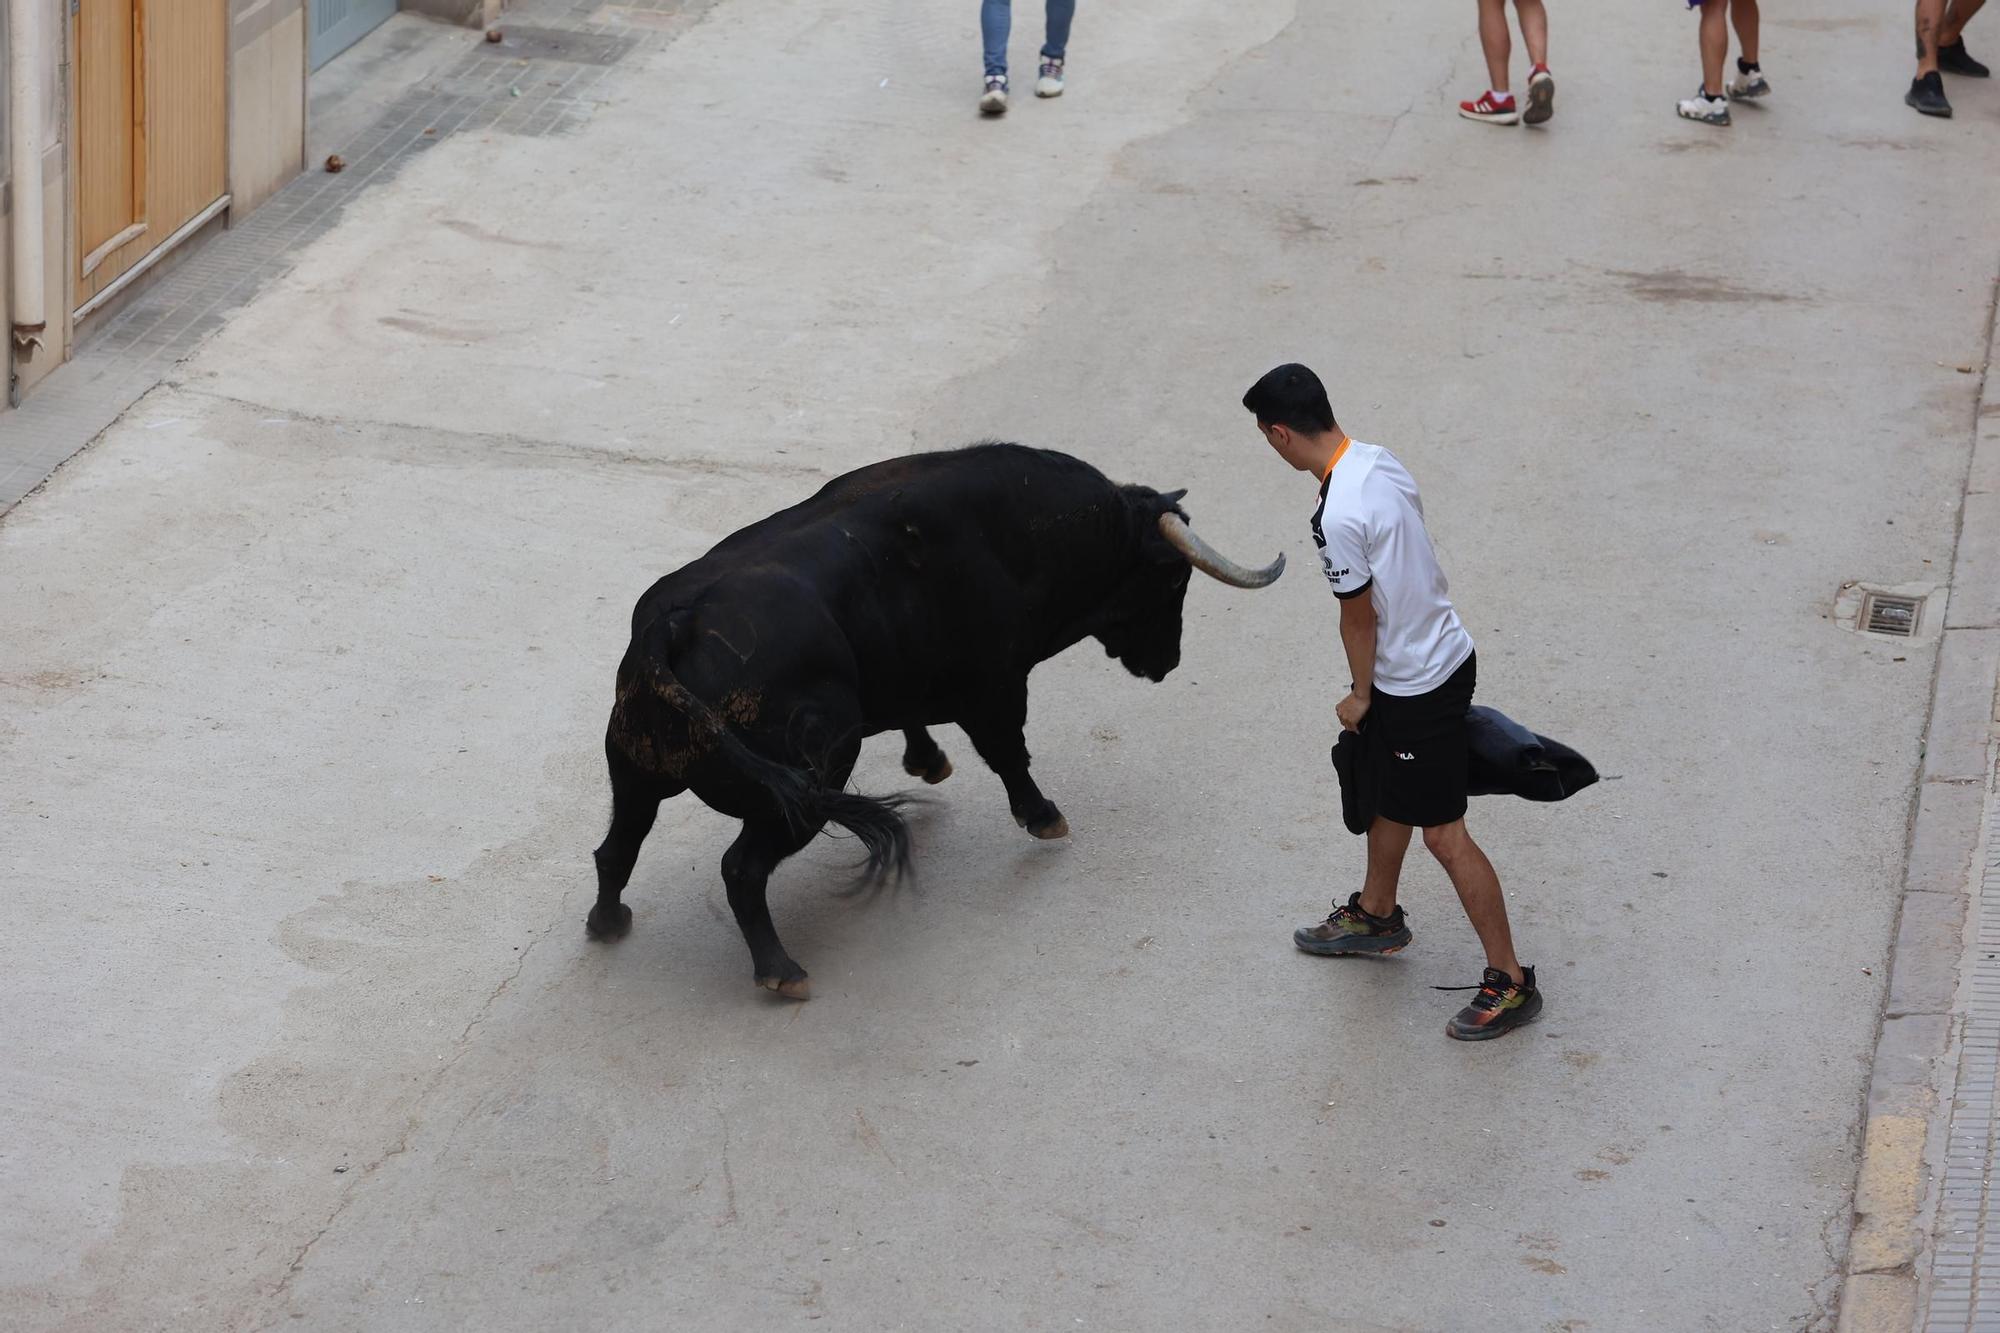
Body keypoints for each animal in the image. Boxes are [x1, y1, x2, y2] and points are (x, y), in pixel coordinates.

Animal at [592, 440, 1280, 992]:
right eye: (1172, 580)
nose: (1167, 662)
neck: (1016, 536)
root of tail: (674, 625)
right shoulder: (996, 687)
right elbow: (1009, 753)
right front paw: (1044, 817)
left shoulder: (910, 677)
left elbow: (917, 720)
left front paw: (928, 761)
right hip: (805, 790)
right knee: (739, 870)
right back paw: (782, 973)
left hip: (636, 772)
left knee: (617, 846)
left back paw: (607, 924)